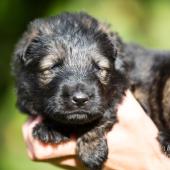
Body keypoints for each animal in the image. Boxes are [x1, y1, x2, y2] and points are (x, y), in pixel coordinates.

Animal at [12, 11, 170, 169]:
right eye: (54, 66)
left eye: (98, 67)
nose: (80, 99)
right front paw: (50, 128)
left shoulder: (121, 90)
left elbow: (98, 116)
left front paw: (91, 150)